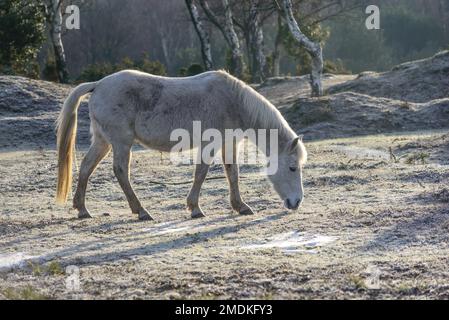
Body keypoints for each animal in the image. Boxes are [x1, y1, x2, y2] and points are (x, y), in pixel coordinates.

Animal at [56, 69, 306, 220]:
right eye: (292, 167)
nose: (296, 202)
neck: (232, 102)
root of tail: (98, 84)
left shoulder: (229, 143)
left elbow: (232, 173)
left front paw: (241, 206)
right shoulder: (210, 143)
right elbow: (201, 172)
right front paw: (195, 208)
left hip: (103, 142)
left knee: (86, 167)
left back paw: (82, 209)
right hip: (121, 142)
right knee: (120, 171)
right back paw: (141, 211)